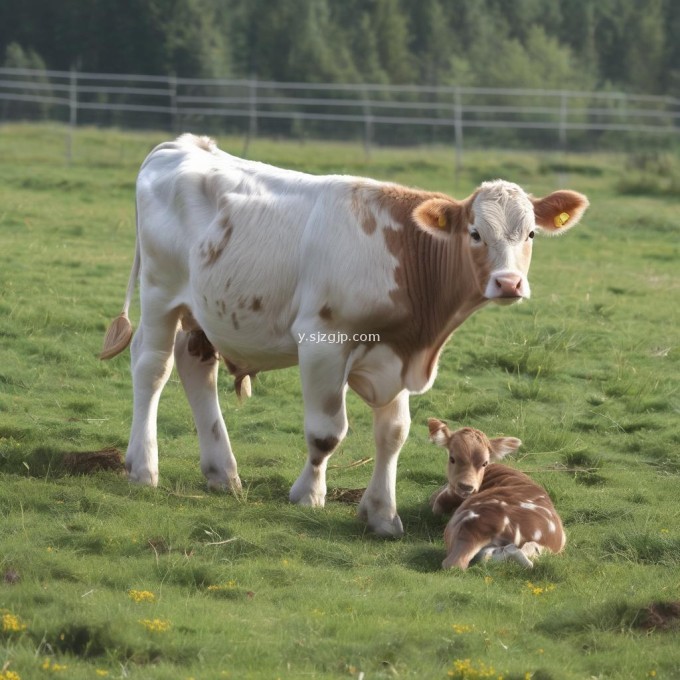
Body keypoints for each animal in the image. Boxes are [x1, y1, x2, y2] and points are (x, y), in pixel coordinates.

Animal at [98, 133, 588, 536]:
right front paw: (308, 495)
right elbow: (326, 432)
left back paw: (223, 473)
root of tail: (183, 144)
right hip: (161, 292)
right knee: (152, 366)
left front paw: (382, 513)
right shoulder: (322, 342)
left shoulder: (395, 355)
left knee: (194, 365)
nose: (509, 283)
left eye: (530, 234)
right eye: (475, 233)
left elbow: (394, 433)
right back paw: (143, 467)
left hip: (202, 311)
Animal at [428, 420, 564, 568]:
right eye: (452, 458)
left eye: (484, 463)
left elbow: (436, 505)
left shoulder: (446, 495)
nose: (466, 486)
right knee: (502, 554)